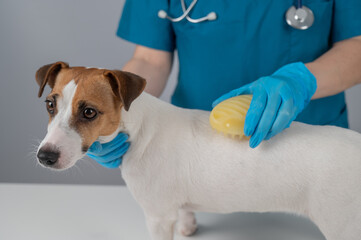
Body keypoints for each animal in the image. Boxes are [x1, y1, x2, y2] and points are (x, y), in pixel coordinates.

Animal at [34, 62, 360, 240]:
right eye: (50, 105)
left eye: (89, 112)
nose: (45, 156)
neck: (140, 130)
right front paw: (189, 225)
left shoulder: (157, 216)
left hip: (343, 225)